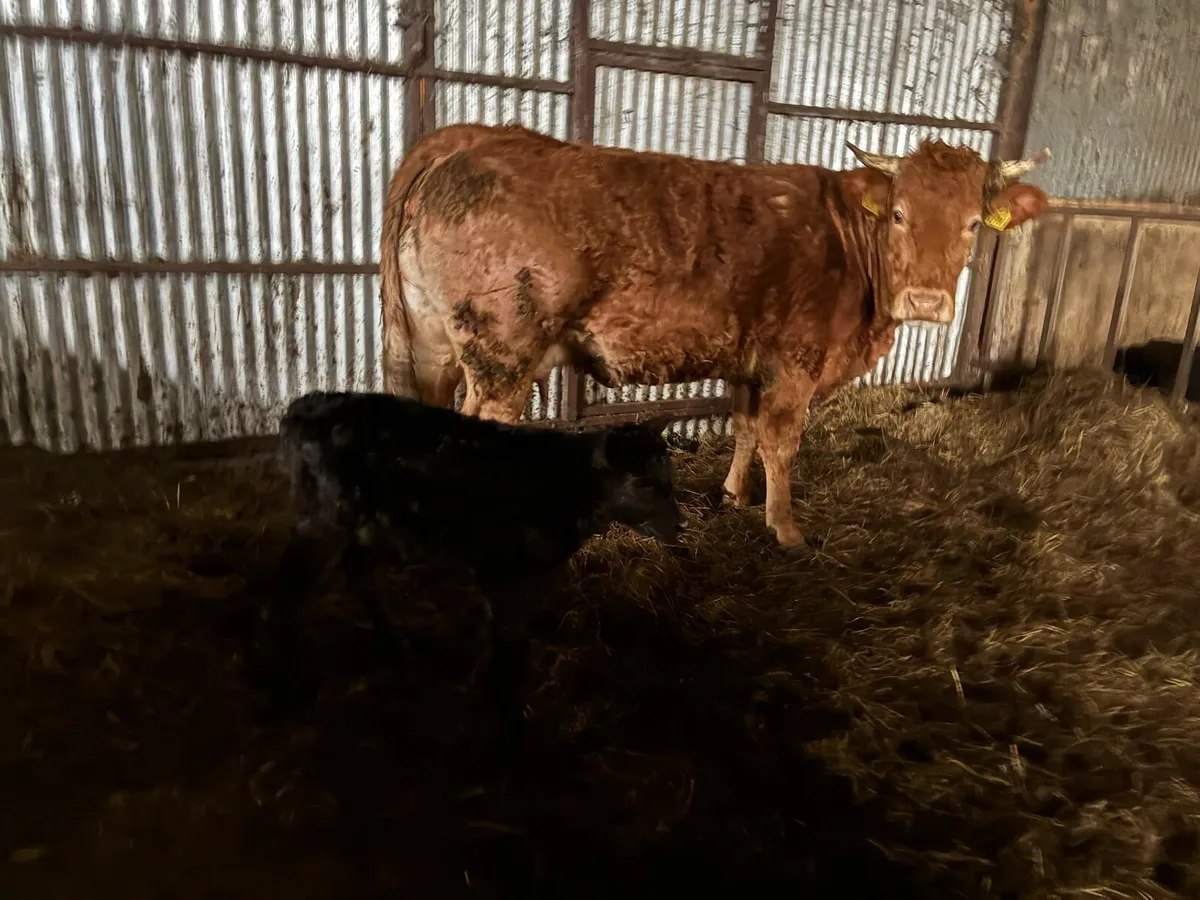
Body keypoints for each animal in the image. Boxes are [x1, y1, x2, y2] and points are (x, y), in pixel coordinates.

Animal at [246, 389, 683, 712]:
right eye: (641, 483)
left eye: (669, 475)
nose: (679, 526)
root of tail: (302, 407)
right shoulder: (500, 565)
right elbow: (508, 634)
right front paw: (507, 697)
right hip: (323, 518)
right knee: (288, 590)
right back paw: (285, 687)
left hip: (367, 522)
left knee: (359, 572)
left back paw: (395, 648)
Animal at [379, 123, 1051, 547]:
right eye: (899, 214)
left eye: (972, 223)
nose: (928, 301)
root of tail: (476, 135)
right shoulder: (795, 362)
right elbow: (782, 442)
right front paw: (786, 530)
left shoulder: (750, 360)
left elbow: (746, 427)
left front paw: (732, 496)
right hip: (501, 357)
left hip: (434, 346)